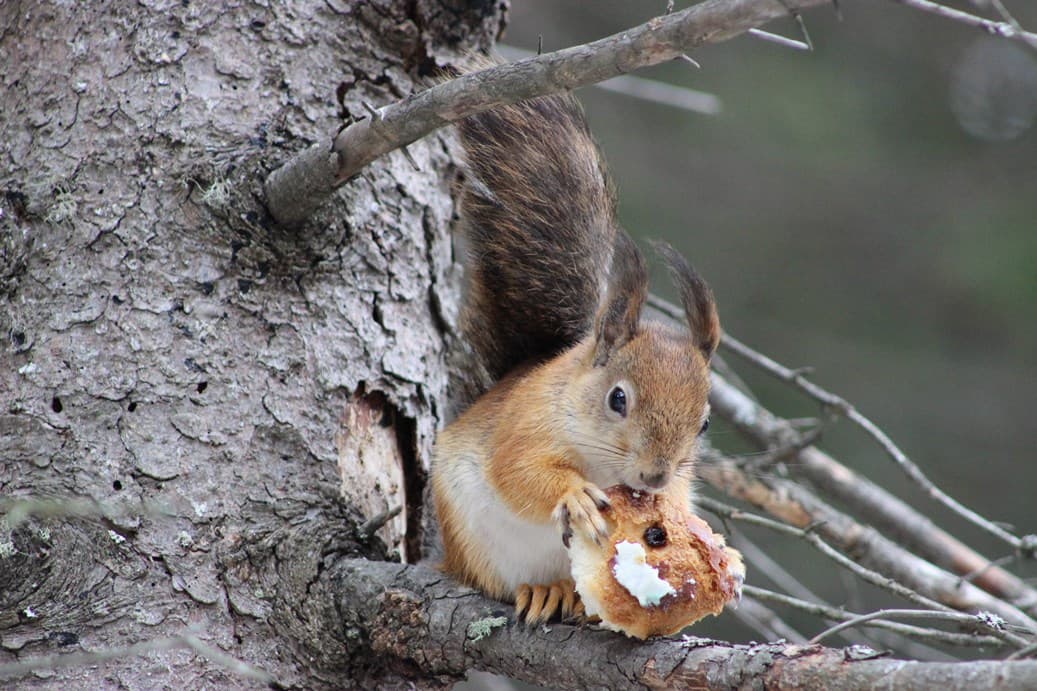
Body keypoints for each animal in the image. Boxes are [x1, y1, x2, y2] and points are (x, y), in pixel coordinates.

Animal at [429, 88, 721, 622]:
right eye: (618, 399)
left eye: (704, 423)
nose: (655, 475)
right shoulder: (525, 423)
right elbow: (517, 471)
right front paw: (574, 496)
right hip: (476, 549)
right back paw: (542, 590)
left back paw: (573, 598)